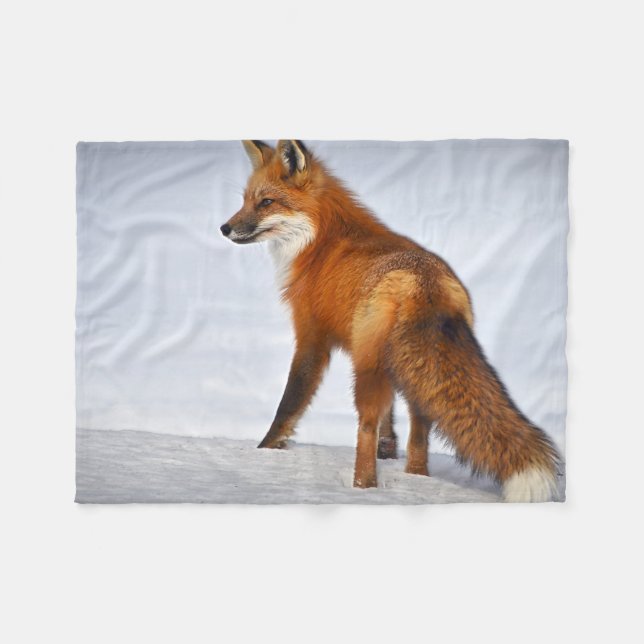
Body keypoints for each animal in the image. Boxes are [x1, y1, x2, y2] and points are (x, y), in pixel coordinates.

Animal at [220, 140, 561, 502]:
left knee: (366, 426)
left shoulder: (312, 336)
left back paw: (363, 487)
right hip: (408, 370)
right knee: (420, 430)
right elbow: (390, 420)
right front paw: (389, 450)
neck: (320, 242)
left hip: (368, 368)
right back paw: (416, 478)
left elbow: (289, 403)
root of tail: (425, 283)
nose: (224, 228)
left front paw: (265, 450)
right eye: (245, 200)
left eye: (266, 202)